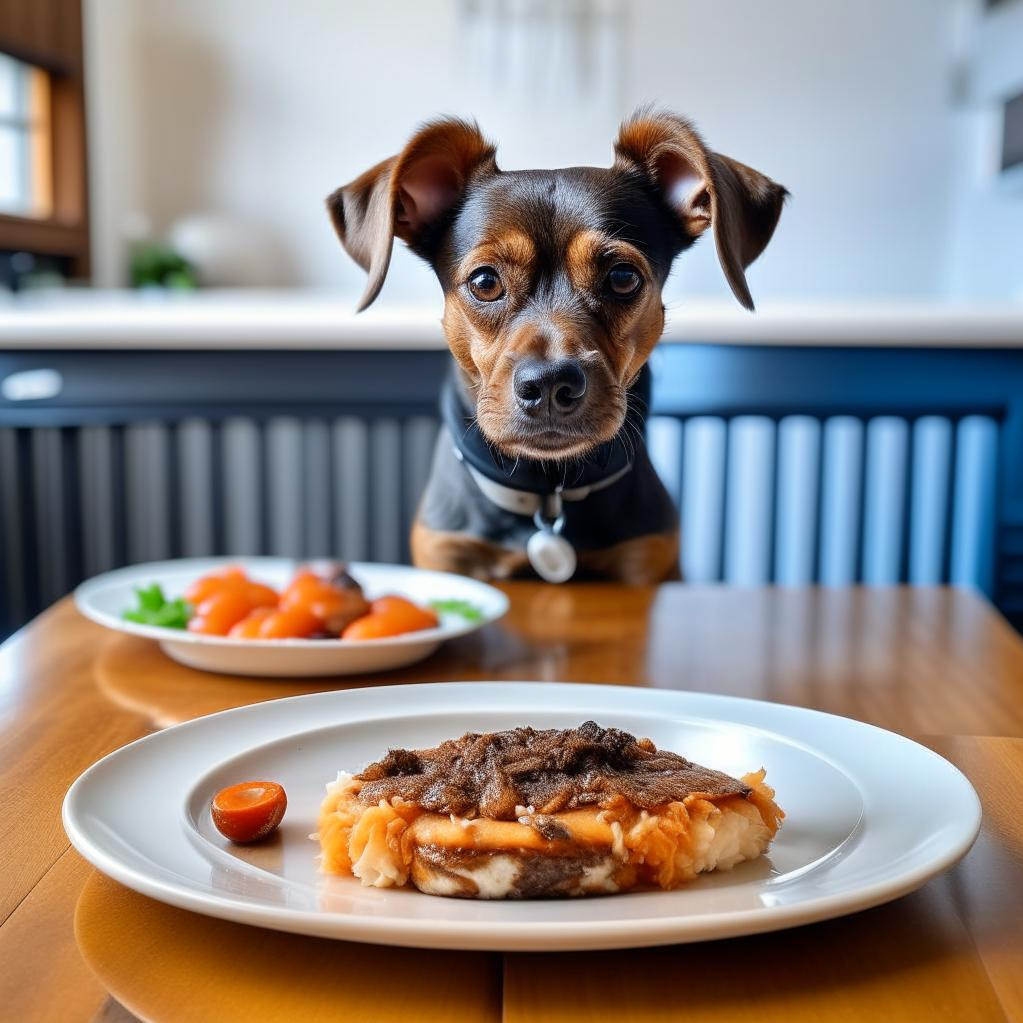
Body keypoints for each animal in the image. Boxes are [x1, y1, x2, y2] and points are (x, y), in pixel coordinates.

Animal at [327, 109, 781, 585]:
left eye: (623, 277)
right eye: (485, 281)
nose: (549, 385)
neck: (548, 496)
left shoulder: (644, 561)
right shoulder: (449, 554)